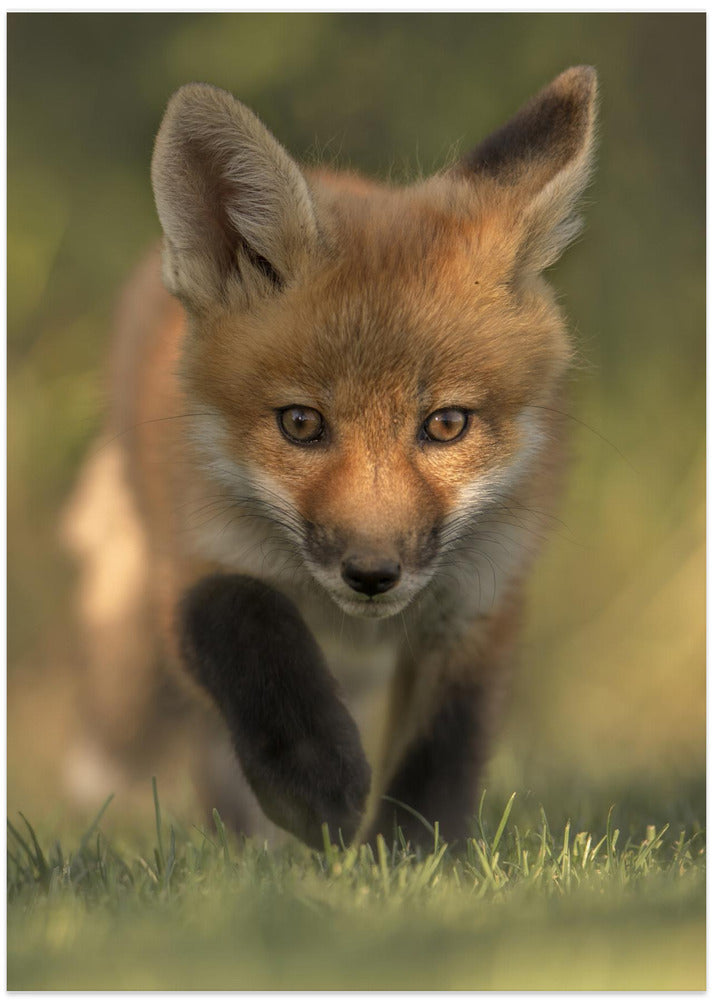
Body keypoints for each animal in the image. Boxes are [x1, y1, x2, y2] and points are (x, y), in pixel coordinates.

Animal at [62, 66, 598, 850]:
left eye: (446, 425)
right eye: (300, 423)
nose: (371, 574)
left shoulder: (479, 601)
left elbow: (444, 747)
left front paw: (416, 857)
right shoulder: (191, 558)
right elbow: (244, 618)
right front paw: (316, 784)